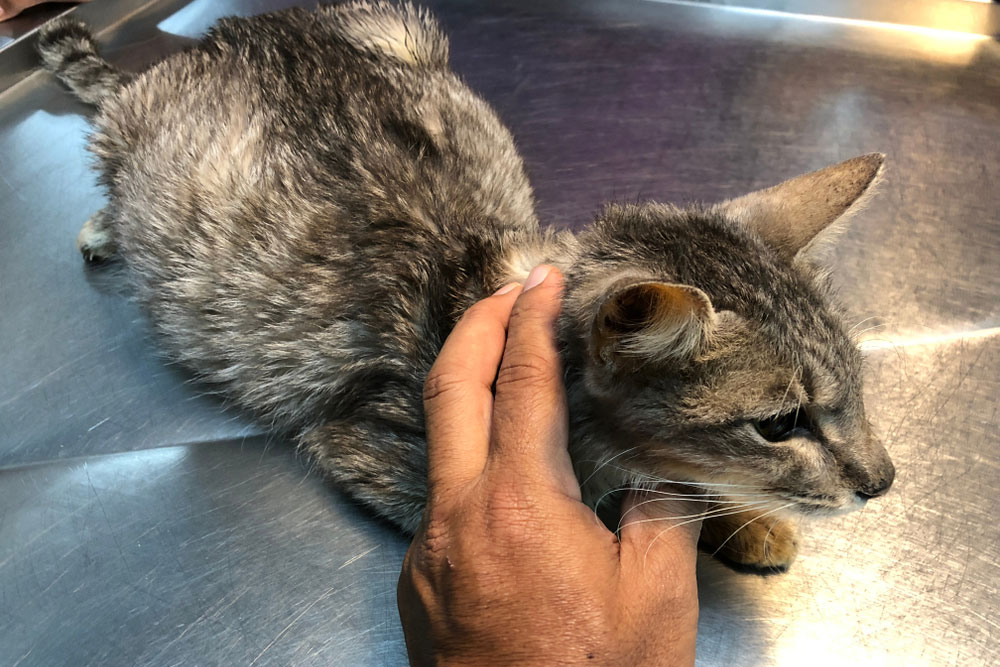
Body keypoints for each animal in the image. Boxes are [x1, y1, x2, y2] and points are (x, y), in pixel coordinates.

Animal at [38, 1, 894, 574]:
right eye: (780, 423)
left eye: (857, 388)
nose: (881, 480)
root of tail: (234, 35)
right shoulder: (369, 446)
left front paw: (742, 518)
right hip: (143, 147)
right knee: (109, 131)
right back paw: (106, 225)